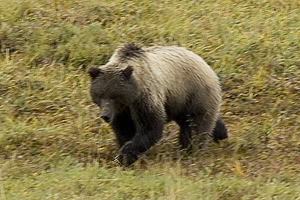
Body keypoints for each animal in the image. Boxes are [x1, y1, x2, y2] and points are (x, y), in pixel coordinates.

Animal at [88, 43, 227, 166]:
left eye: (114, 96)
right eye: (100, 95)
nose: (105, 115)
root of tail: (206, 64)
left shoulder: (145, 98)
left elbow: (150, 127)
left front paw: (124, 155)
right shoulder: (122, 111)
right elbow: (123, 128)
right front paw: (126, 151)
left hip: (194, 93)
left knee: (197, 125)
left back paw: (192, 149)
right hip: (179, 102)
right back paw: (221, 133)